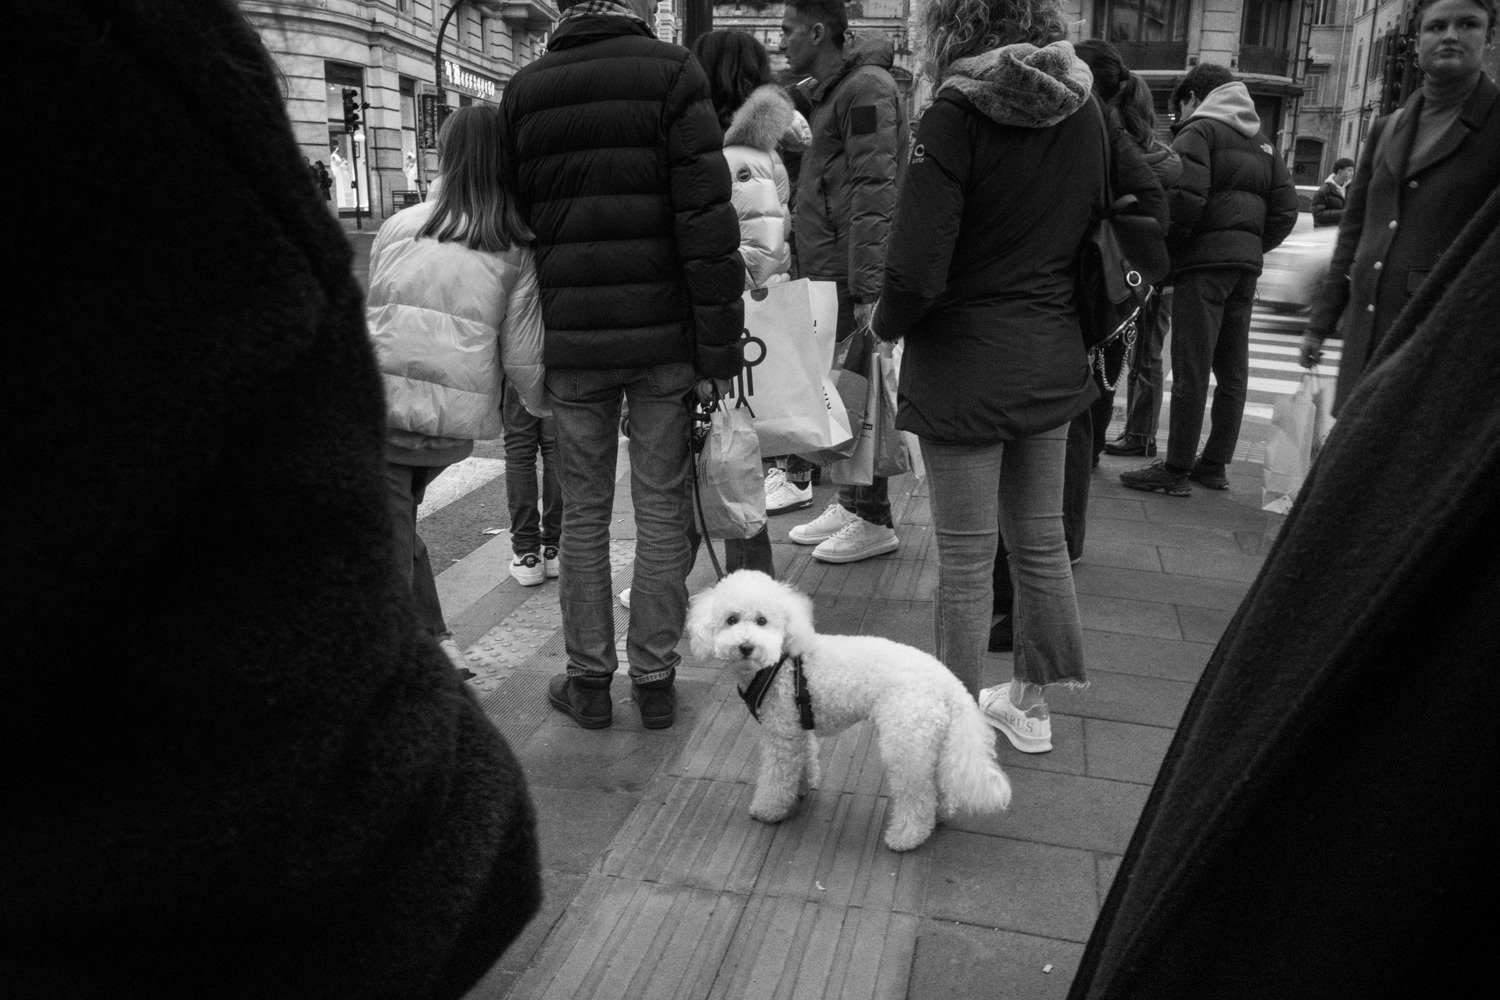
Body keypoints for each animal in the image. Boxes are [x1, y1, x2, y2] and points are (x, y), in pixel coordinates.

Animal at [687, 569, 1014, 851]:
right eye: (731, 619)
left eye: (762, 620)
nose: (746, 647)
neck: (777, 665)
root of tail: (951, 685)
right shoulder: (797, 726)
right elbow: (805, 757)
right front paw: (803, 786)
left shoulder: (781, 733)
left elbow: (776, 777)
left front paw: (768, 809)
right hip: (929, 740)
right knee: (938, 783)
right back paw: (942, 815)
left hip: (904, 741)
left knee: (918, 795)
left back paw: (907, 837)